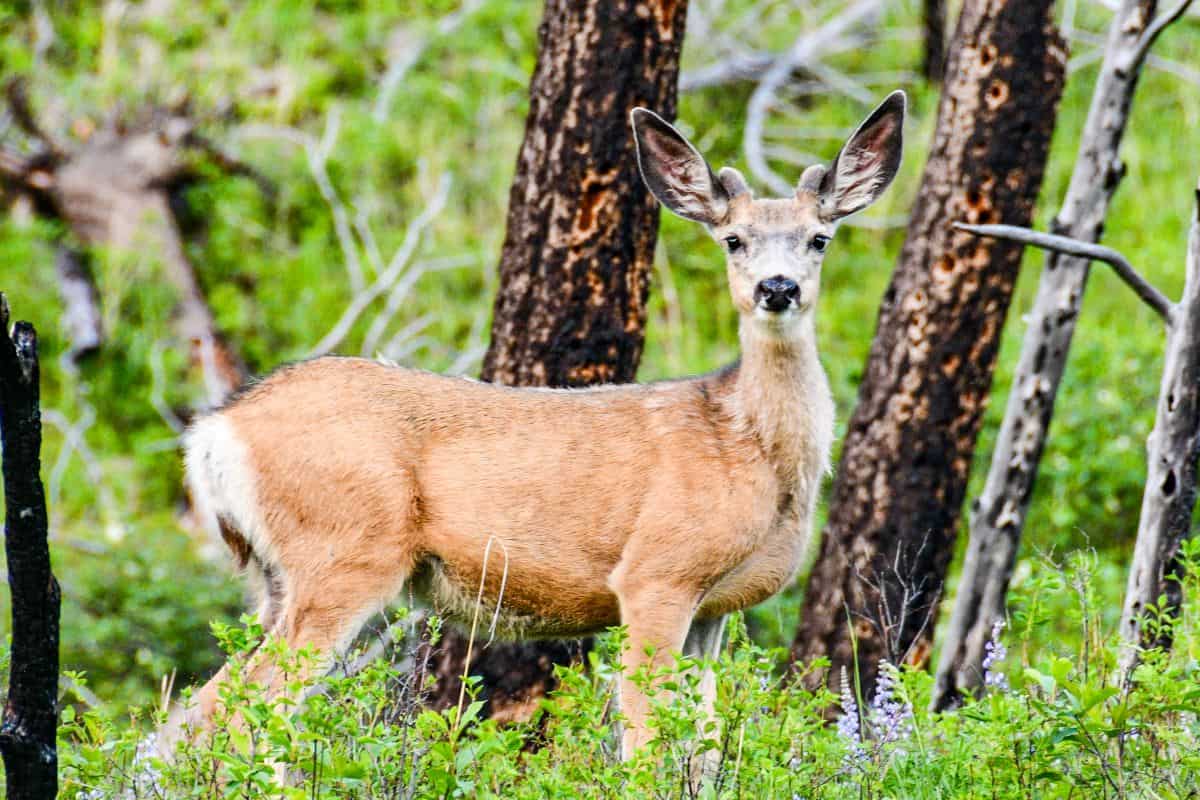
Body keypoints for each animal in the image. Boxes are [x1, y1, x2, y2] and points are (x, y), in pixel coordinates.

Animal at [162, 91, 905, 762]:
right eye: (733, 240)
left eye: (819, 238)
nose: (777, 288)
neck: (748, 445)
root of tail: (213, 432)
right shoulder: (656, 572)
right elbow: (644, 740)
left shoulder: (714, 608)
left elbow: (701, 743)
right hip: (343, 551)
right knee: (244, 711)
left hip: (274, 577)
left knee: (192, 715)